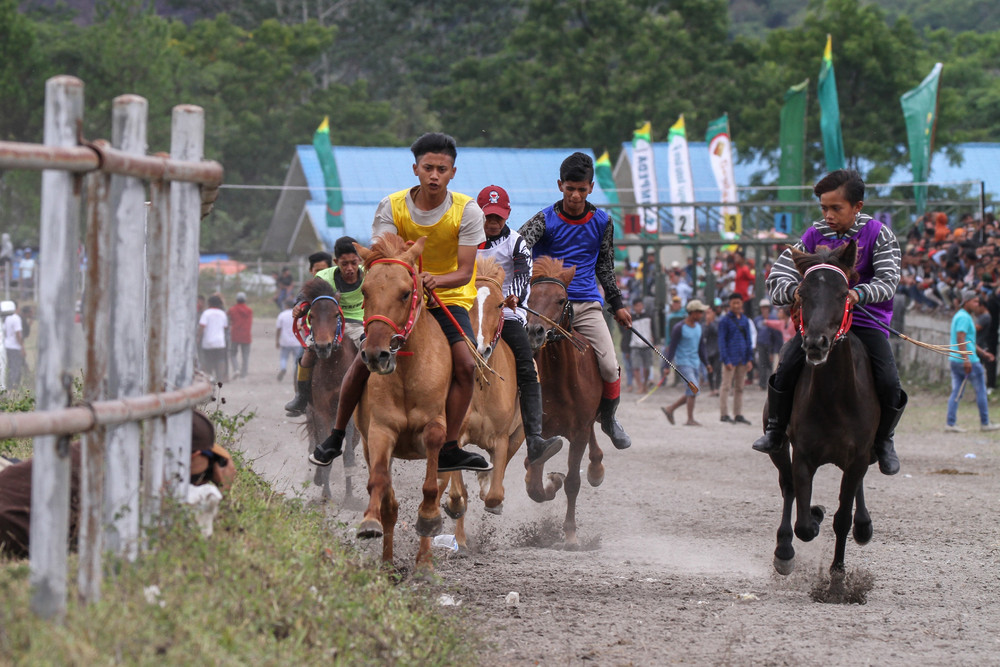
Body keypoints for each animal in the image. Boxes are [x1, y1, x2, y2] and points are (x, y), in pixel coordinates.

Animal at [296, 278, 364, 506]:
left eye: (336, 315)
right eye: (311, 316)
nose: (323, 346)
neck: (334, 368)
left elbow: (348, 452)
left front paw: (350, 497)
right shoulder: (321, 412)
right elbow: (323, 446)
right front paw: (326, 496)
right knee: (315, 442)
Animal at [520, 256, 604, 548]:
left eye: (560, 300)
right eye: (530, 298)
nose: (535, 331)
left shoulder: (579, 432)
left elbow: (573, 483)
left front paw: (570, 535)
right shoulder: (540, 433)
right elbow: (534, 482)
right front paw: (550, 482)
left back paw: (596, 468)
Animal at [768, 240, 880, 576]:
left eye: (843, 294)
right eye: (802, 293)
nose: (816, 343)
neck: (834, 398)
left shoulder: (857, 457)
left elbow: (842, 516)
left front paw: (838, 571)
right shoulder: (803, 455)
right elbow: (804, 522)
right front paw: (814, 515)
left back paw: (863, 525)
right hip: (780, 446)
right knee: (788, 485)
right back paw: (784, 547)